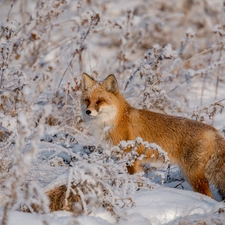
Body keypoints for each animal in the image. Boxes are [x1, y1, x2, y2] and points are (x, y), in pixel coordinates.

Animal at [81, 72, 225, 199]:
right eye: (87, 100)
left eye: (100, 101)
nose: (88, 112)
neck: (116, 120)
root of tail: (214, 131)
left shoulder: (131, 157)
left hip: (193, 176)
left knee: (209, 197)